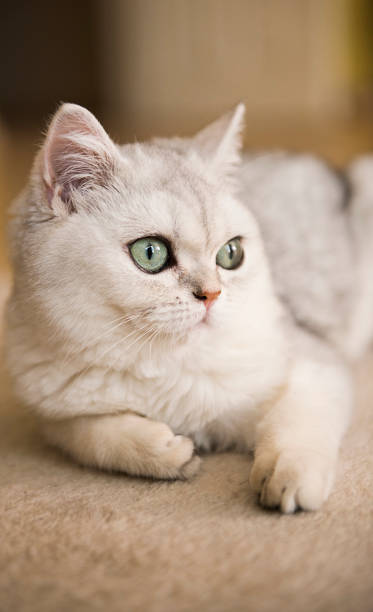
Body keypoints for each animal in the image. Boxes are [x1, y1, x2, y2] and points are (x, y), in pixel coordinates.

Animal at [6, 104, 372, 512]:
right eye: (150, 253)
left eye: (231, 254)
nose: (211, 294)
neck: (162, 360)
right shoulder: (53, 415)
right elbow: (91, 435)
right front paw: (166, 451)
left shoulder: (317, 367)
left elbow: (297, 423)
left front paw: (287, 476)